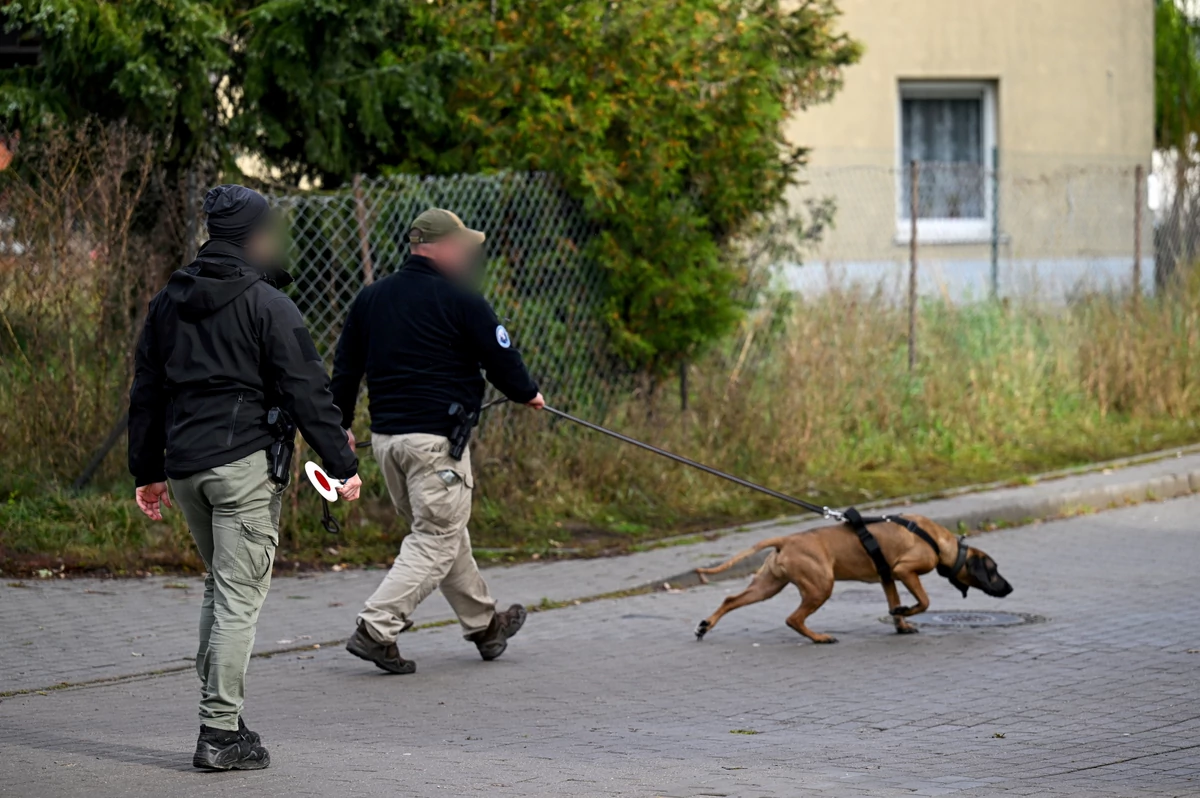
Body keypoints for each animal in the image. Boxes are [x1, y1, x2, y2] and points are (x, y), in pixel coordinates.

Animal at [696, 516, 1012, 643]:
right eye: (994, 570)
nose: (1009, 588)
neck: (938, 540)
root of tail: (786, 540)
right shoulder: (904, 570)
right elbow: (924, 601)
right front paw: (905, 611)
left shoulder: (888, 578)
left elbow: (894, 602)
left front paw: (900, 622)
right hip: (821, 586)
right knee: (793, 619)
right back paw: (819, 638)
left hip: (767, 586)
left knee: (730, 599)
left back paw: (705, 626)